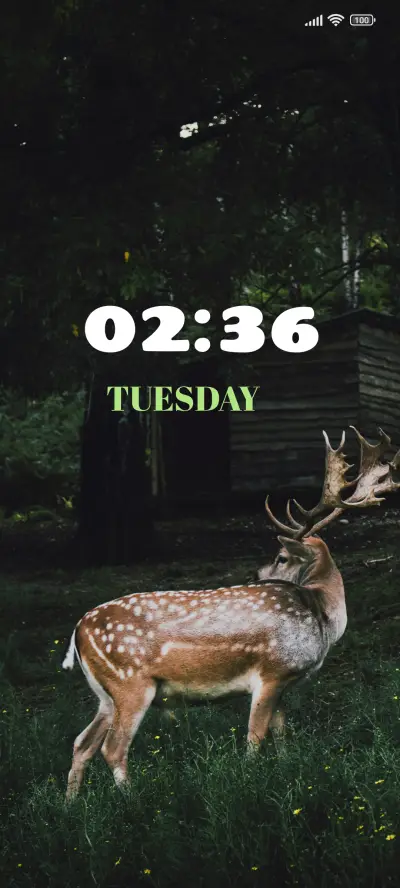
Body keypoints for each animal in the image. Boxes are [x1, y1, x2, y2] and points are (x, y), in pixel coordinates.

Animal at [62, 426, 400, 800]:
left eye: (281, 557)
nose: (257, 574)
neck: (322, 619)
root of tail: (78, 632)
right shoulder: (271, 671)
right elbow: (255, 737)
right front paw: (249, 782)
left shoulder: (283, 683)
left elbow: (281, 735)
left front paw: (285, 773)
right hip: (130, 682)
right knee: (113, 748)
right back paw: (131, 800)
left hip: (105, 694)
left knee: (82, 743)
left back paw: (71, 805)